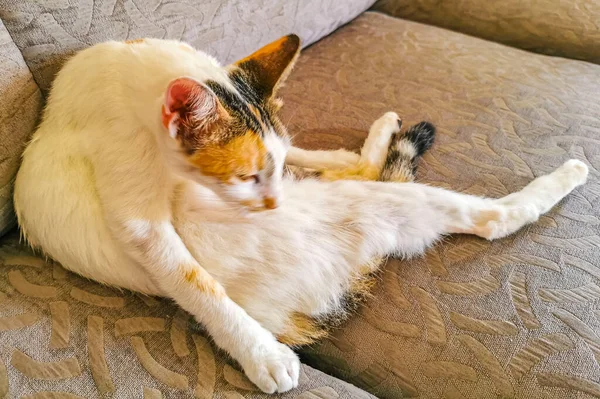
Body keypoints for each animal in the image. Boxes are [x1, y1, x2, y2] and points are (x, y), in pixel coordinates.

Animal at [11, 33, 588, 394]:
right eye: (244, 178)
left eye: (260, 172)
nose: (273, 204)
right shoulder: (139, 218)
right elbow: (195, 281)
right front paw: (260, 356)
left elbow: (301, 153)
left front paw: (326, 154)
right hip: (384, 206)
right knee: (492, 217)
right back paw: (567, 175)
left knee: (363, 170)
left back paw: (376, 135)